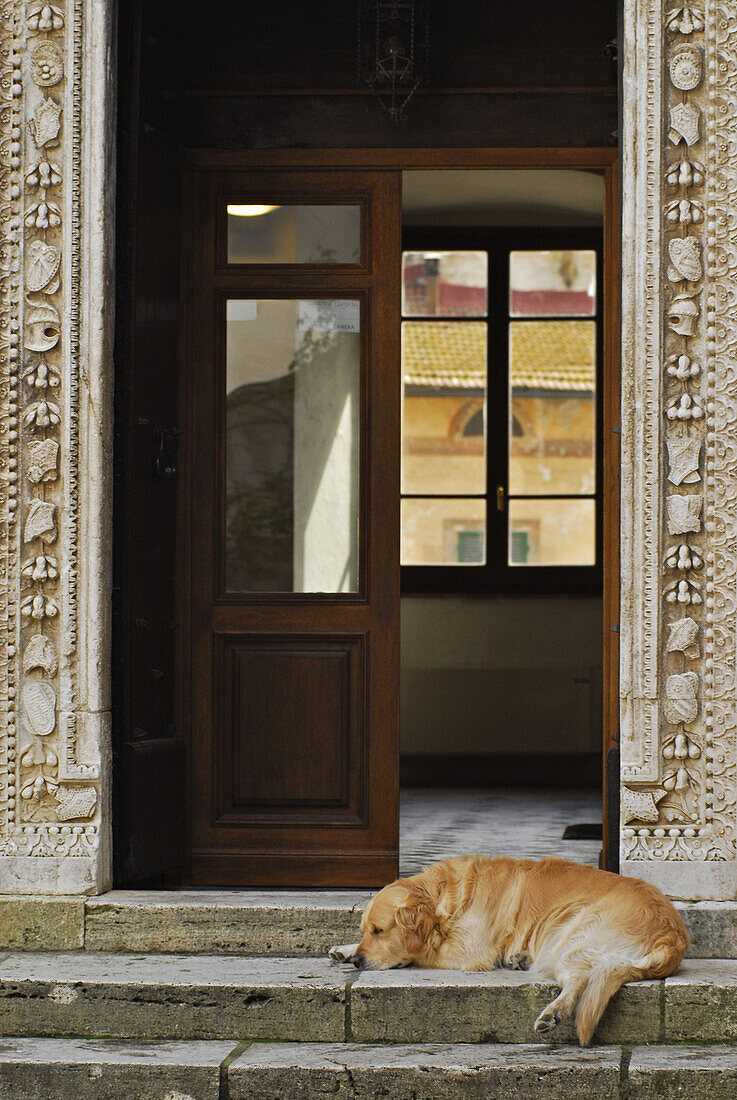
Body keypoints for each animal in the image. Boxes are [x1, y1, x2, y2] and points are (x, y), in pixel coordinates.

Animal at [332, 853, 690, 1042]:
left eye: (380, 930)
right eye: (366, 930)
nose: (359, 961)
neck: (447, 895)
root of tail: (673, 932)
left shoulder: (470, 950)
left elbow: (422, 951)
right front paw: (344, 948)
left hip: (570, 936)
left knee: (580, 978)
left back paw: (552, 1013)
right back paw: (520, 960)